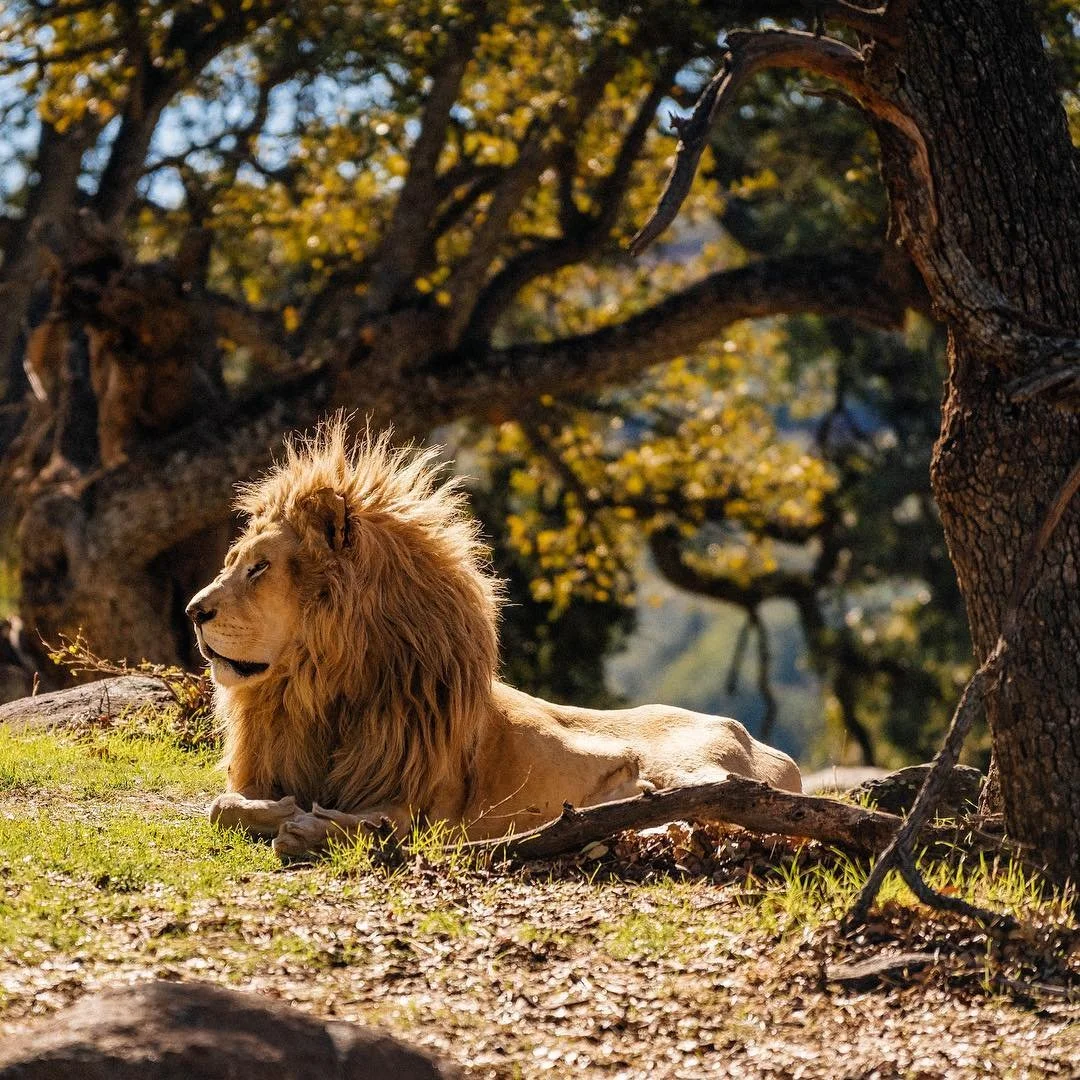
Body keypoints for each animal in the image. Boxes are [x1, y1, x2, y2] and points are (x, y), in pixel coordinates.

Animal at [186, 419, 801, 858]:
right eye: (233, 561)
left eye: (260, 568)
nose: (193, 611)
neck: (320, 689)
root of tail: (758, 740)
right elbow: (222, 805)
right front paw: (283, 811)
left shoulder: (429, 804)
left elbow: (381, 824)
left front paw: (307, 826)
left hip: (691, 770)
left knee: (705, 812)